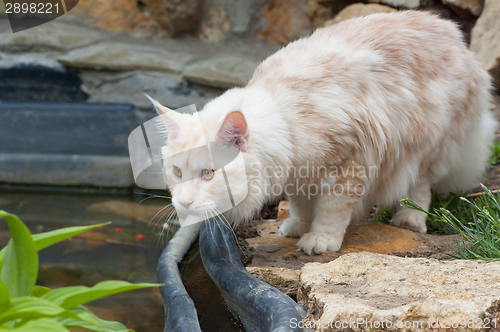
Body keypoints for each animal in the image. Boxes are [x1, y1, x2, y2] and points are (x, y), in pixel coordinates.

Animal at [149, 10, 496, 254]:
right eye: (176, 172)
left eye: (208, 174)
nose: (184, 204)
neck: (286, 119)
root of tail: (454, 35)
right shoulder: (299, 175)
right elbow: (301, 204)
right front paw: (297, 226)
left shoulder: (349, 165)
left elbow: (332, 209)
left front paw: (320, 239)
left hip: (424, 148)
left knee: (420, 188)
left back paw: (409, 219)